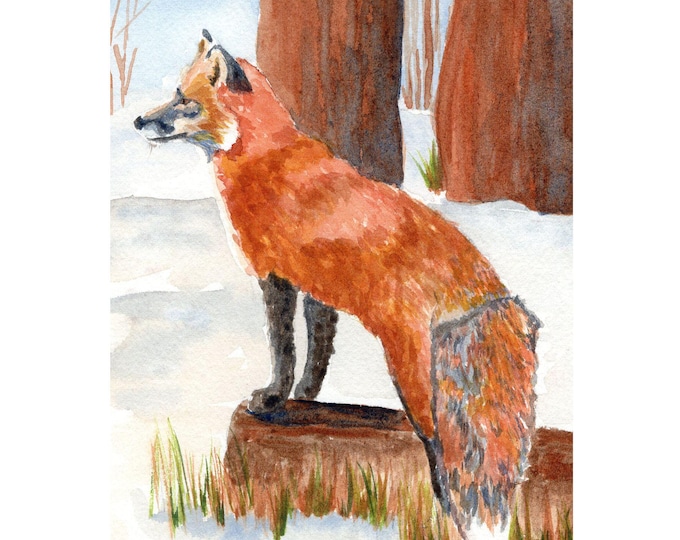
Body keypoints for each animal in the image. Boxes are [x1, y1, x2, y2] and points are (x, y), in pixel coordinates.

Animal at [134, 30, 540, 538]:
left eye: (183, 100)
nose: (138, 121)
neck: (263, 155)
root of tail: (490, 289)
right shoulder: (318, 289)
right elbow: (317, 356)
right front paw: (305, 401)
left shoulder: (276, 277)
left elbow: (284, 351)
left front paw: (272, 398)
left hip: (410, 370)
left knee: (437, 441)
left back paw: (444, 502)